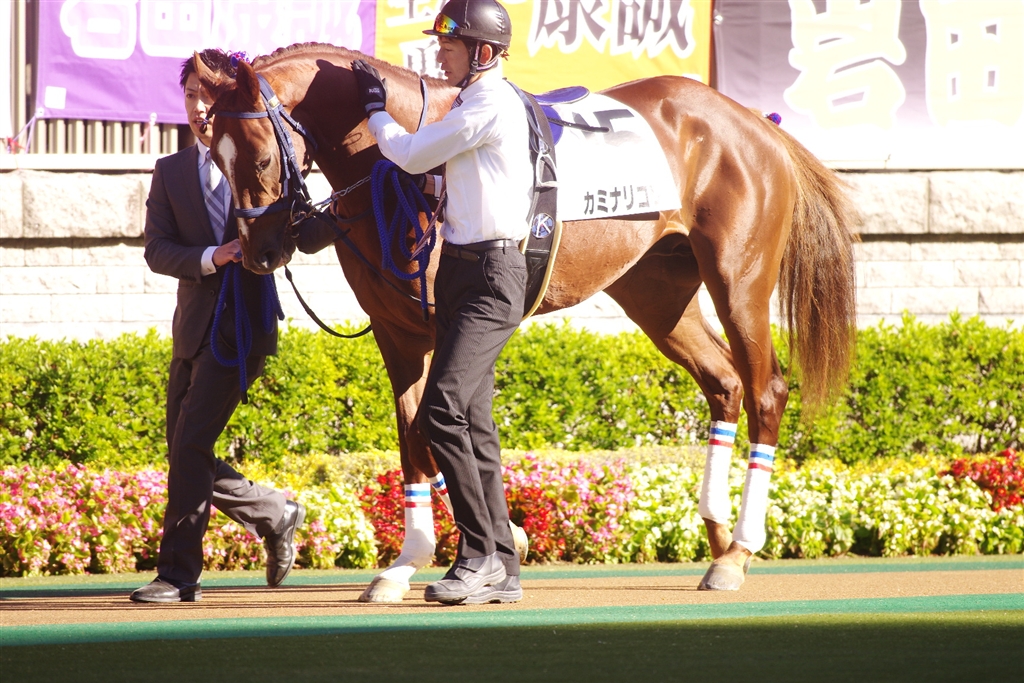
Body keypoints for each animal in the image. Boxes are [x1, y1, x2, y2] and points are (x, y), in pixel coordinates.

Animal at [194, 43, 857, 599]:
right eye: (213, 158)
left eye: (258, 157)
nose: (258, 253)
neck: (404, 168)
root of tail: (753, 121)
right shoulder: (398, 331)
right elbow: (416, 435)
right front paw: (413, 560)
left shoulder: (457, 321)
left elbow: (444, 426)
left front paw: (481, 548)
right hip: (657, 293)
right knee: (724, 382)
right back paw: (717, 537)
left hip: (738, 280)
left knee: (766, 390)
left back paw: (739, 548)